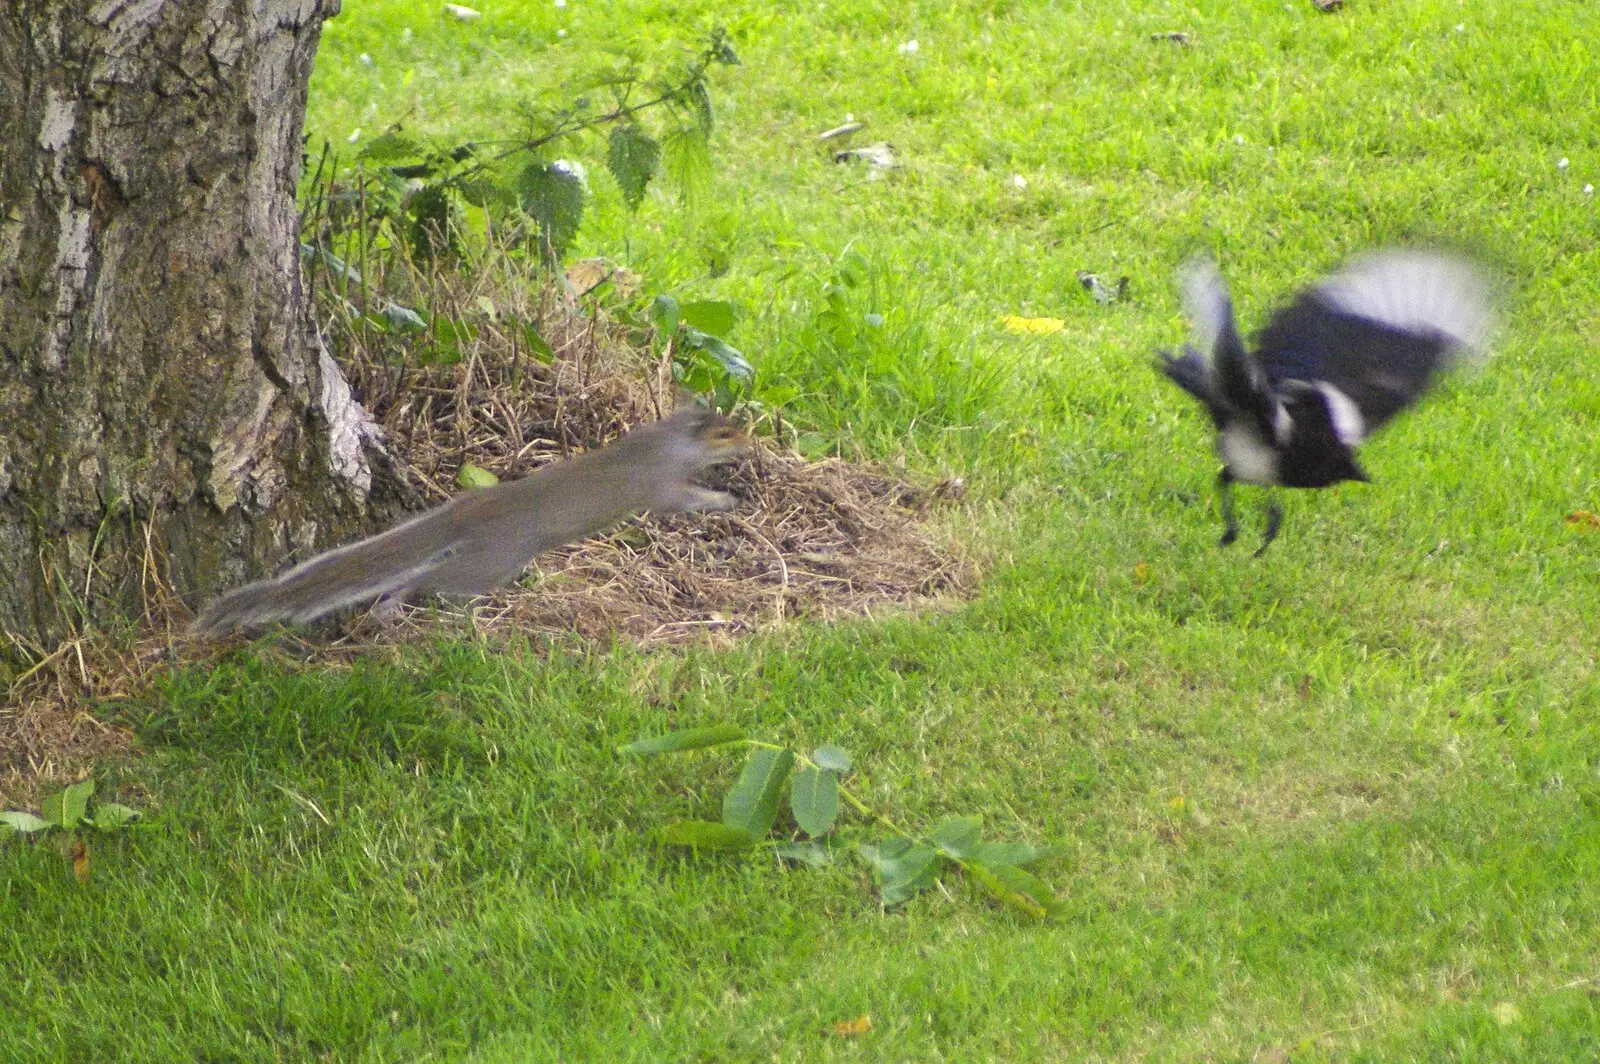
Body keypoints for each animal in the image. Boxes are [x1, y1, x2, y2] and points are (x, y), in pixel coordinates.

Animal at [192, 404, 748, 640]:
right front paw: (723, 499)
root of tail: (467, 511)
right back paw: (393, 605)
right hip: (492, 563)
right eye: (723, 433)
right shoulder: (659, 483)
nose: (749, 442)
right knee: (430, 579)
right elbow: (680, 501)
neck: (670, 441)